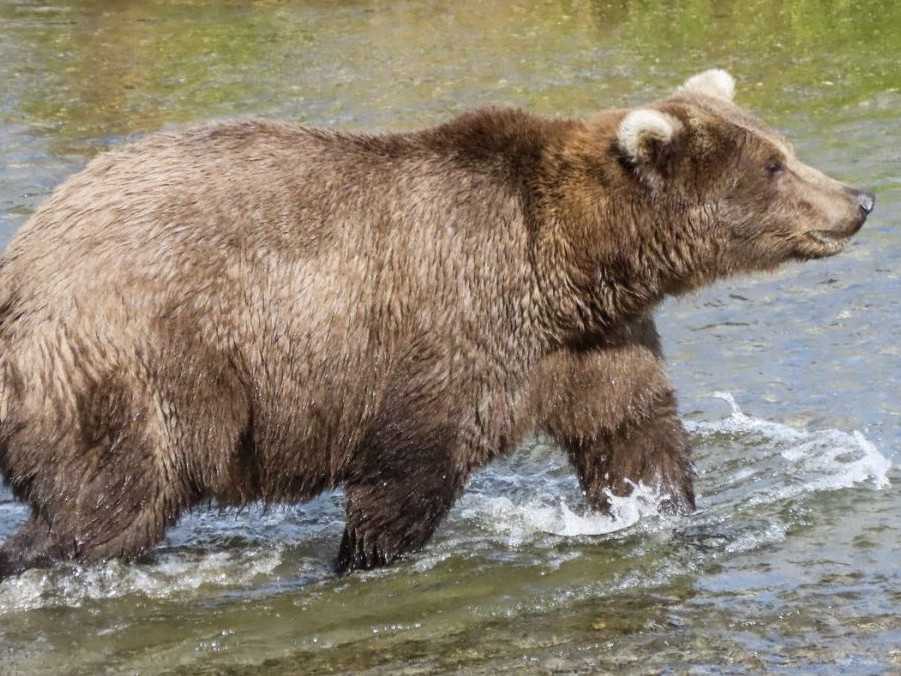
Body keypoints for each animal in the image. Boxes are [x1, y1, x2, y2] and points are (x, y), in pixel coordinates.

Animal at [0, 68, 872, 576]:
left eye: (782, 146)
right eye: (773, 166)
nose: (858, 200)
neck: (572, 265)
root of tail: (25, 254)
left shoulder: (594, 342)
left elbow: (633, 435)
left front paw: (663, 512)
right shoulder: (453, 327)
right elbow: (408, 471)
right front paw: (362, 557)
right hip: (129, 362)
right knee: (106, 506)